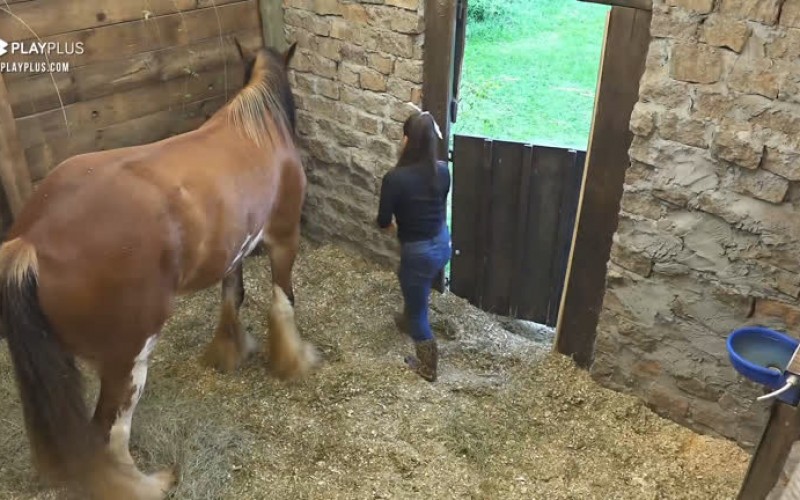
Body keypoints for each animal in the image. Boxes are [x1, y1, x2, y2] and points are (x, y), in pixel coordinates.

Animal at [0, 39, 319, 499]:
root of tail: (31, 240)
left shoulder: (233, 249)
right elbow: (283, 300)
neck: (258, 130)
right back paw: (147, 484)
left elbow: (233, 296)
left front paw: (230, 351)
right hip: (128, 359)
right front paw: (294, 359)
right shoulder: (284, 238)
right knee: (109, 430)